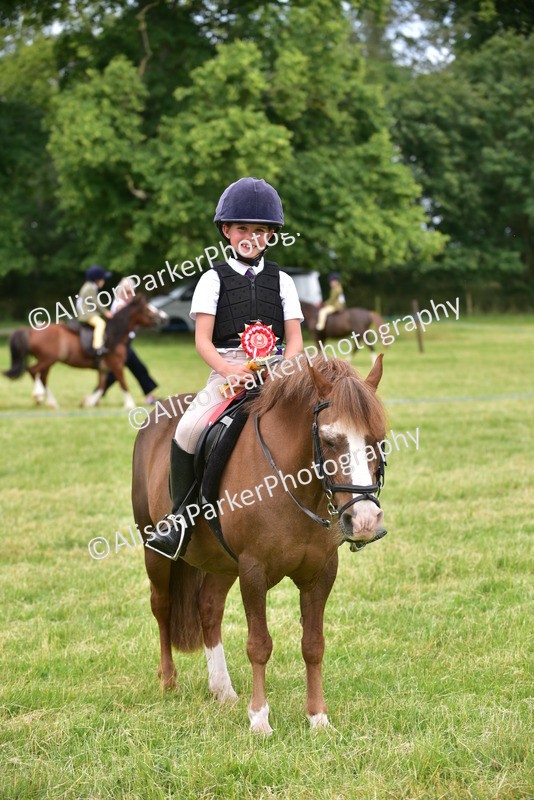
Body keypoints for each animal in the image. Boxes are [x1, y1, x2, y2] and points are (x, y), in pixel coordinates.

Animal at [3, 294, 164, 410]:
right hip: (47, 359)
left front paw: (88, 402)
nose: (162, 318)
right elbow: (123, 383)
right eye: (147, 309)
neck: (113, 334)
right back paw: (38, 395)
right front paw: (130, 404)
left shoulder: (103, 368)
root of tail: (31, 330)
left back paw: (52, 402)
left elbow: (101, 386)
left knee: (42, 377)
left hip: (48, 362)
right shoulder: (116, 365)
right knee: (33, 370)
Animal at [132, 353, 388, 734]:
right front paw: (259, 719)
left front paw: (318, 717)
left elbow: (313, 644)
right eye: (329, 440)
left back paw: (222, 688)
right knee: (161, 606)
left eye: (378, 440)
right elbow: (259, 645)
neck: (294, 483)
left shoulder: (321, 572)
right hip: (155, 551)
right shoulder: (254, 570)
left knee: (209, 609)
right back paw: (168, 679)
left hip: (222, 563)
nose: (365, 520)